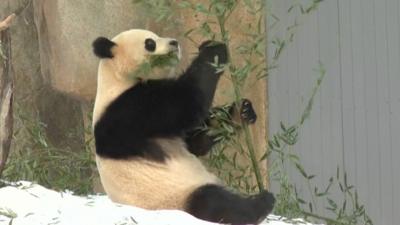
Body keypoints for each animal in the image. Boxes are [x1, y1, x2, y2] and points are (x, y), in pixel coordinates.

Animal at [90, 29, 276, 224]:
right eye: (150, 43)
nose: (174, 43)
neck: (116, 79)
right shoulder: (129, 110)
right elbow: (188, 101)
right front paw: (213, 49)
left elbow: (195, 144)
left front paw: (241, 113)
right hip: (174, 197)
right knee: (212, 201)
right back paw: (260, 204)